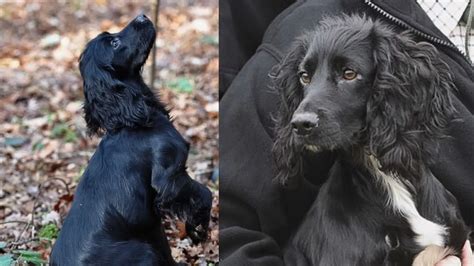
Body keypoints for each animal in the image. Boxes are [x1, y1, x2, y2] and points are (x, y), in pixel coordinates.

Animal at [50, 15, 211, 266]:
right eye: (114, 43)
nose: (142, 16)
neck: (129, 120)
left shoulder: (153, 224)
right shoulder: (171, 177)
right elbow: (205, 194)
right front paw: (199, 228)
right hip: (143, 252)